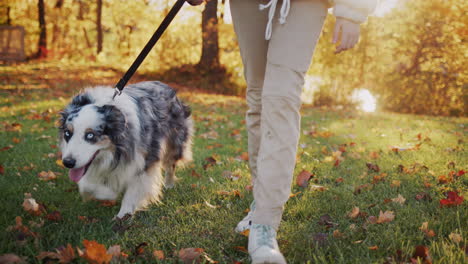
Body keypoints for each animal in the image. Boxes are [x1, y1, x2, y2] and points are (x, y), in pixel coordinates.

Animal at [58, 81, 192, 218]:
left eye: (90, 135)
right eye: (67, 133)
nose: (68, 163)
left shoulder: (144, 160)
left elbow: (134, 189)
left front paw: (123, 214)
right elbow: (88, 185)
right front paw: (104, 193)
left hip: (175, 143)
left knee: (171, 165)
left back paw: (169, 184)